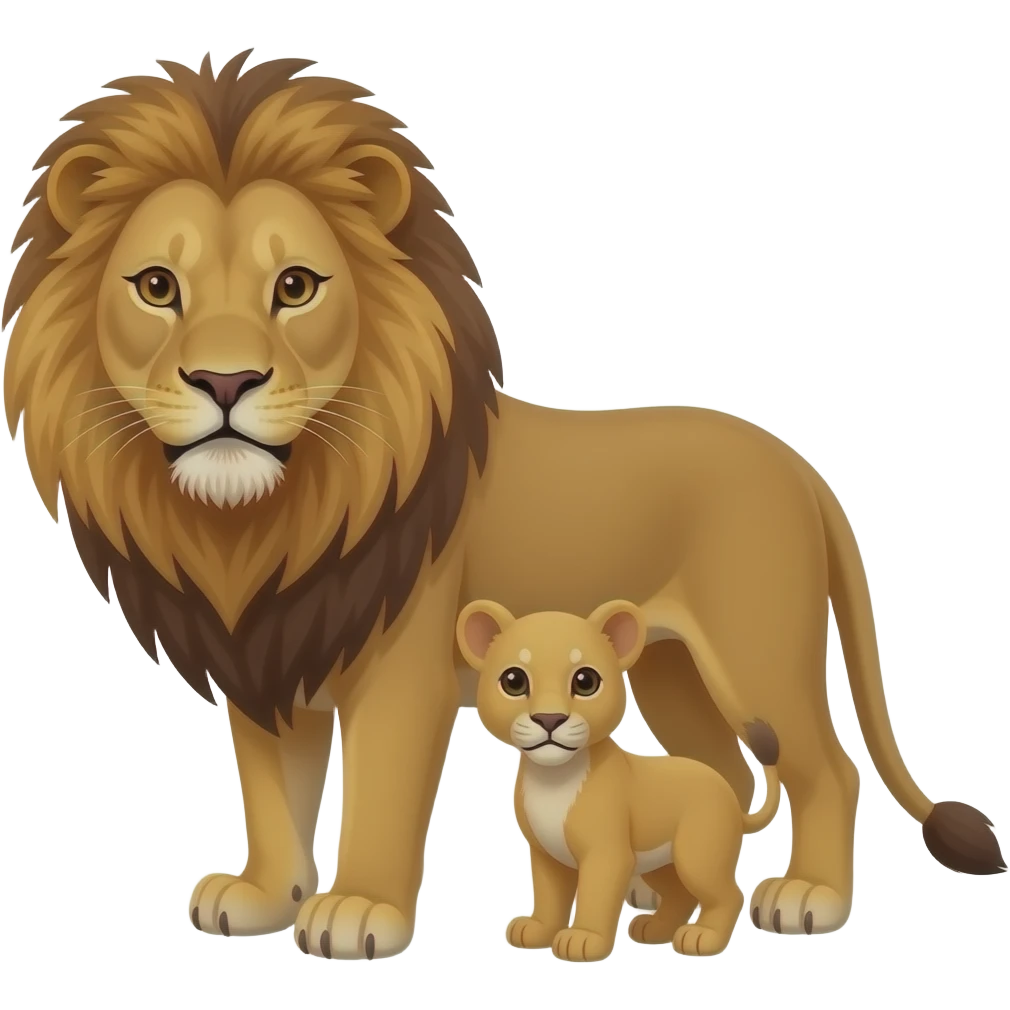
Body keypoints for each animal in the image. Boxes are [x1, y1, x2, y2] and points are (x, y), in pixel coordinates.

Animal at [457, 600, 784, 961]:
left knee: (728, 895)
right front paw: (538, 930)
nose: (550, 719)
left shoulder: (607, 854)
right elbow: (550, 897)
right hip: (659, 864)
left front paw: (583, 940)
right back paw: (654, 929)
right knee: (681, 894)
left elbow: (596, 897)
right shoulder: (545, 855)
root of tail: (728, 796)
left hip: (697, 855)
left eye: (585, 681)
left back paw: (703, 937)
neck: (554, 777)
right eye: (513, 681)